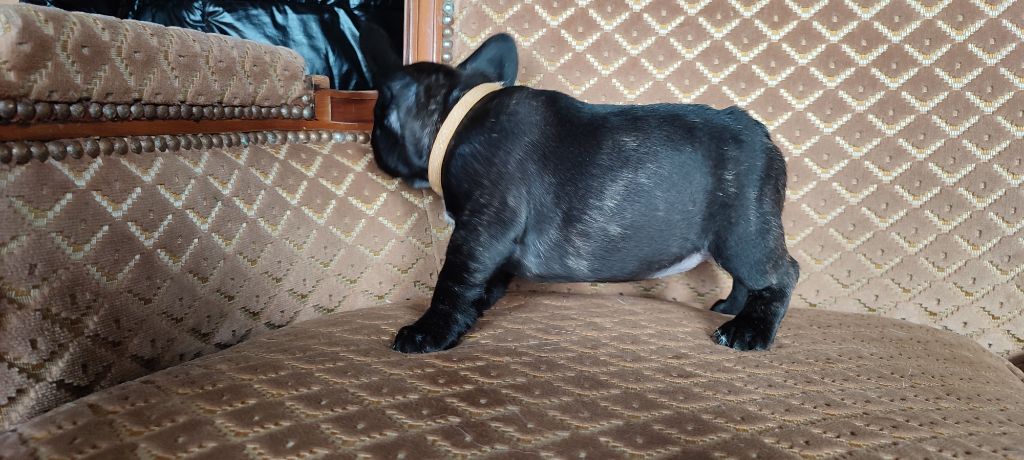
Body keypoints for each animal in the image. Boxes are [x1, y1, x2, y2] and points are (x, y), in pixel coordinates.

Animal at [359, 26, 799, 353]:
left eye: (378, 119)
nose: (371, 145)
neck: (457, 121)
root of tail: (763, 135)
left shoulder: (481, 227)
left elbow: (453, 280)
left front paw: (429, 332)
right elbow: (484, 279)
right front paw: (475, 308)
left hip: (743, 232)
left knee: (780, 275)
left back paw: (749, 331)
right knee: (748, 279)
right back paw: (732, 309)